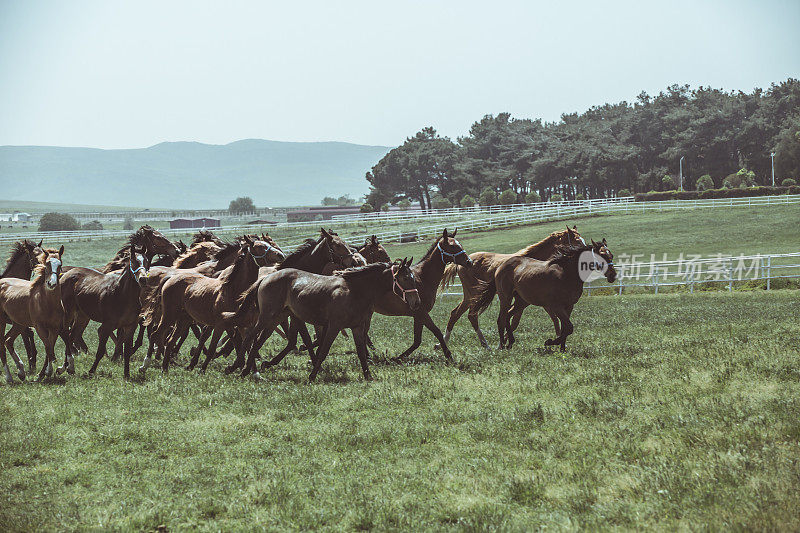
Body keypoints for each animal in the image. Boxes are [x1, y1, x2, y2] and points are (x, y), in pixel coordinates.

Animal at [0, 246, 65, 382]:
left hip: (18, 324)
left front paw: (44, 373)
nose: (51, 284)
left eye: (60, 264)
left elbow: (50, 347)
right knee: (2, 343)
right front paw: (46, 372)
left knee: (8, 340)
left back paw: (21, 372)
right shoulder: (39, 327)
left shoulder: (55, 327)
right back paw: (9, 377)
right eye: (47, 264)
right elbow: (47, 346)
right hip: (2, 321)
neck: (47, 301)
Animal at [59, 245, 150, 378]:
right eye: (133, 261)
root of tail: (65, 274)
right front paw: (91, 371)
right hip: (68, 312)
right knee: (66, 335)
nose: (143, 279)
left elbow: (127, 351)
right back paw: (65, 367)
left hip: (82, 316)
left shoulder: (130, 327)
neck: (122, 295)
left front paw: (126, 374)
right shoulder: (106, 326)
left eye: (147, 261)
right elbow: (100, 351)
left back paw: (68, 367)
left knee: (72, 336)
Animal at [223, 258, 418, 380]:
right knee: (250, 338)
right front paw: (312, 376)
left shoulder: (357, 327)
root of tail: (266, 278)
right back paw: (237, 367)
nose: (416, 301)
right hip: (267, 317)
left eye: (413, 278)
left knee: (257, 341)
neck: (354, 291)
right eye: (405, 278)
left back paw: (248, 370)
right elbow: (323, 351)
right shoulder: (334, 326)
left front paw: (368, 376)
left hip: (276, 318)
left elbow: (361, 352)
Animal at [438, 225, 580, 348]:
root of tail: (462, 263)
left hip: (470, 296)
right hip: (474, 294)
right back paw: (484, 344)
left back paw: (442, 343)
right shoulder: (539, 302)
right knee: (470, 315)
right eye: (577, 241)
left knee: (456, 313)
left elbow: (517, 321)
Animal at [476, 240, 620, 350]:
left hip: (522, 301)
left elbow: (565, 328)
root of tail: (500, 266)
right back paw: (502, 346)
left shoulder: (569, 306)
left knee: (507, 316)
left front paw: (562, 348)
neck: (567, 274)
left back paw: (510, 342)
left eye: (611, 255)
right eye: (602, 255)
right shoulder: (556, 306)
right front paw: (550, 342)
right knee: (501, 319)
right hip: (505, 298)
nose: (613, 275)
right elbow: (568, 327)